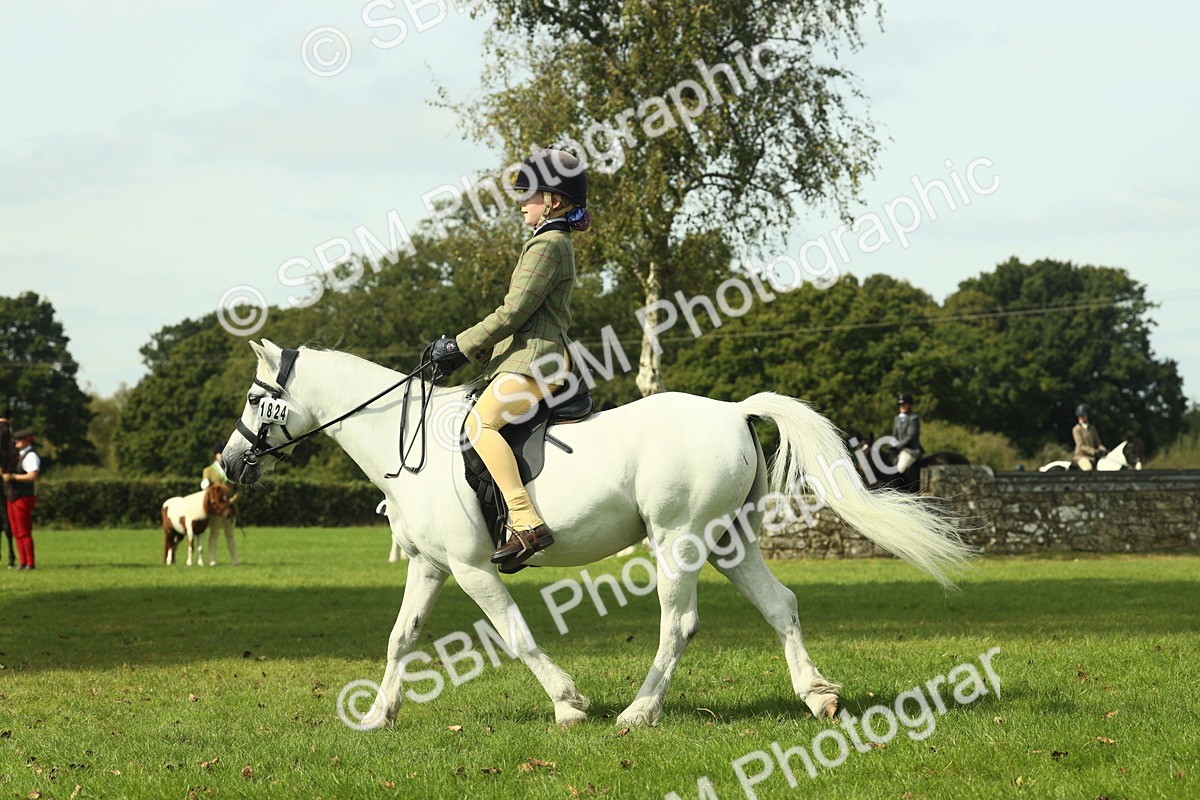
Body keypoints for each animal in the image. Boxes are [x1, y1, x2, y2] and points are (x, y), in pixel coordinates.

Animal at [221, 340, 974, 728]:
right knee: (780, 605)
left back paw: (638, 712)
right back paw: (817, 696)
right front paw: (379, 715)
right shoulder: (430, 567)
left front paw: (569, 704)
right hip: (727, 541)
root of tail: (734, 410)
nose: (228, 465)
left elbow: (516, 635)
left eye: (258, 398)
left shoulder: (471, 568)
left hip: (678, 540)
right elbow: (400, 637)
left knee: (679, 623)